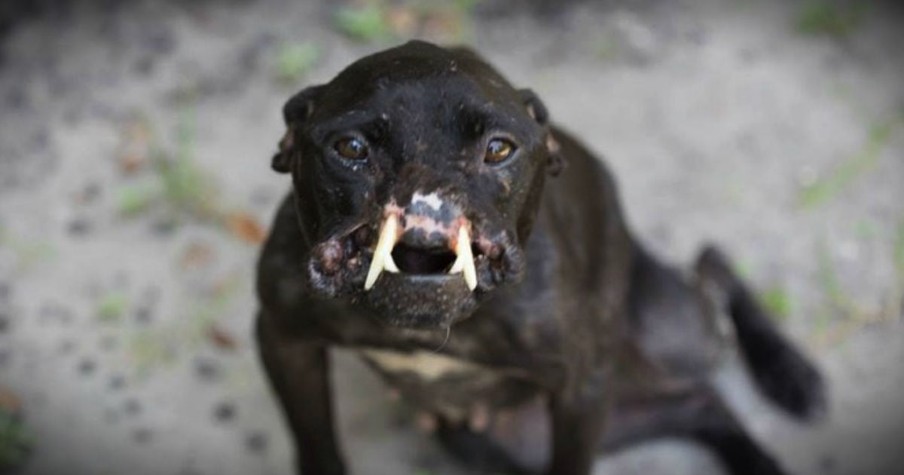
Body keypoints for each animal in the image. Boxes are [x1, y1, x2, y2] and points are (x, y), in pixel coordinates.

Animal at [254, 41, 828, 475]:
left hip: (673, 334)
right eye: (350, 148)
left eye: (499, 148)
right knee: (700, 402)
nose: (429, 199)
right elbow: (316, 442)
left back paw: (792, 376)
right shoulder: (284, 339)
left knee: (714, 270)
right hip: (513, 439)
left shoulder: (580, 388)